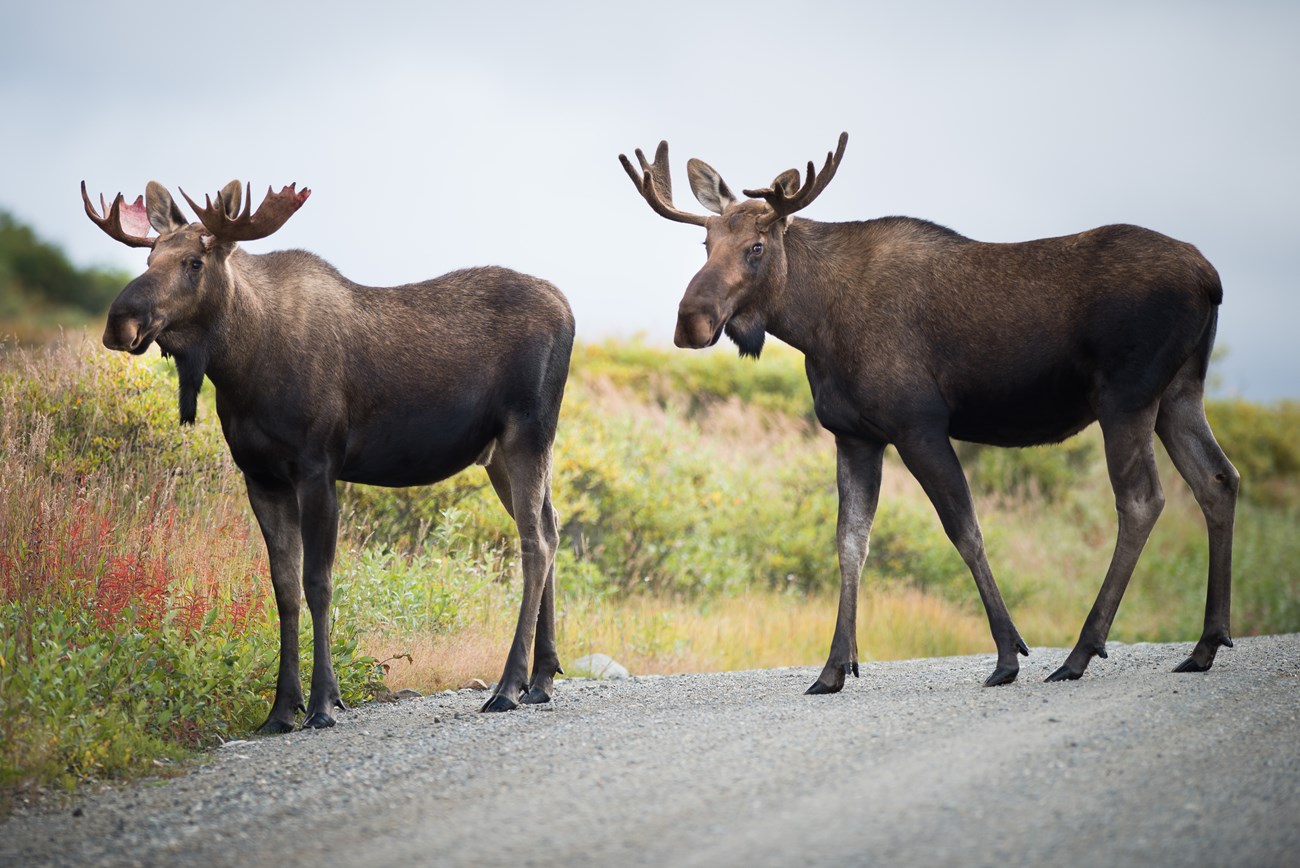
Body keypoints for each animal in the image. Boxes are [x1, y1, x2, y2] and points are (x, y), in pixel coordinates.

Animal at [81, 178, 569, 727]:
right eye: (148, 258)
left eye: (194, 263)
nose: (120, 322)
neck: (239, 367)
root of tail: (569, 308)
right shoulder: (260, 475)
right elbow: (284, 588)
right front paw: (281, 708)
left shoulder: (318, 468)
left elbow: (318, 582)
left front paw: (321, 702)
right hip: (501, 453)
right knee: (551, 528)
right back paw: (542, 677)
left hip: (528, 432)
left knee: (535, 543)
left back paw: (510, 684)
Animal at [618, 133, 1237, 691]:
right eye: (705, 245)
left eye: (756, 247)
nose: (690, 322)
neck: (813, 325)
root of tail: (1212, 279)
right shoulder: (854, 435)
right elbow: (850, 543)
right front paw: (834, 668)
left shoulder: (918, 426)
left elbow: (966, 530)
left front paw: (1008, 655)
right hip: (1178, 393)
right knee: (1217, 479)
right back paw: (1205, 643)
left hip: (1125, 397)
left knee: (1142, 499)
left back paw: (1081, 652)